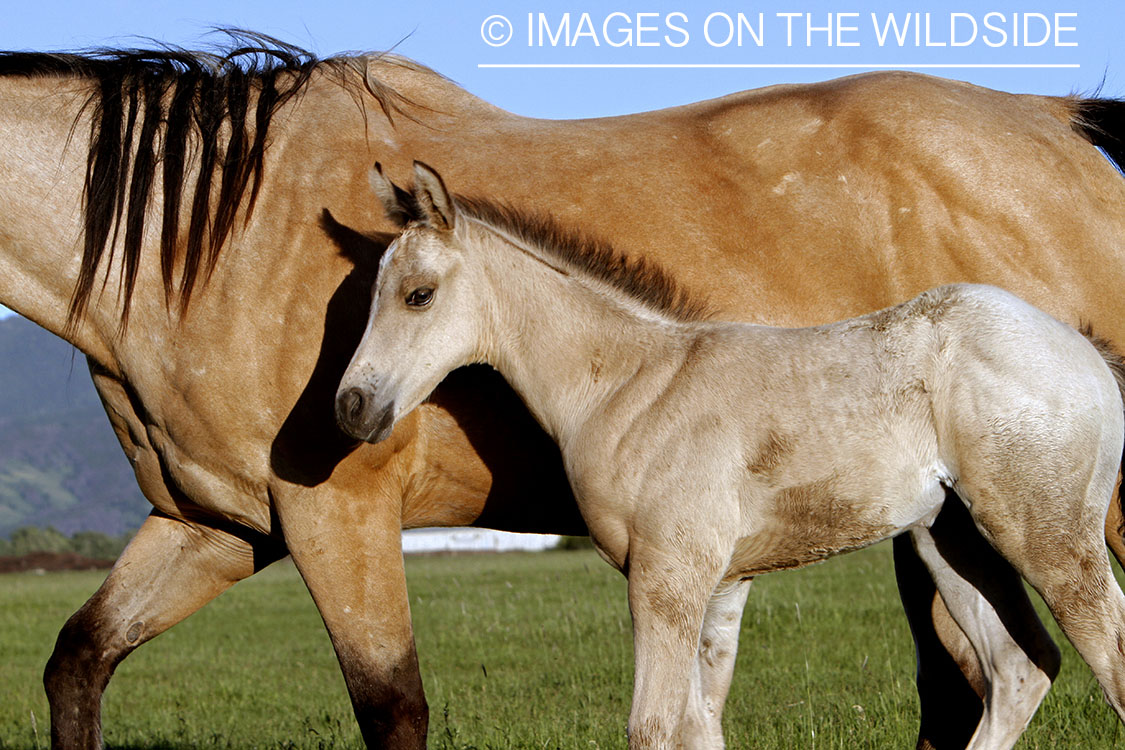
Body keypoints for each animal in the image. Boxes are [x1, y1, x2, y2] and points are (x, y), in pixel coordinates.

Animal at [339, 162, 1125, 749]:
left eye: (418, 295)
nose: (351, 405)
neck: (627, 385)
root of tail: (1085, 352)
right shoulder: (719, 586)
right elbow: (698, 728)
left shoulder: (666, 577)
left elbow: (652, 727)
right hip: (952, 538)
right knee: (1020, 670)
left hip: (1047, 536)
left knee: (1105, 658)